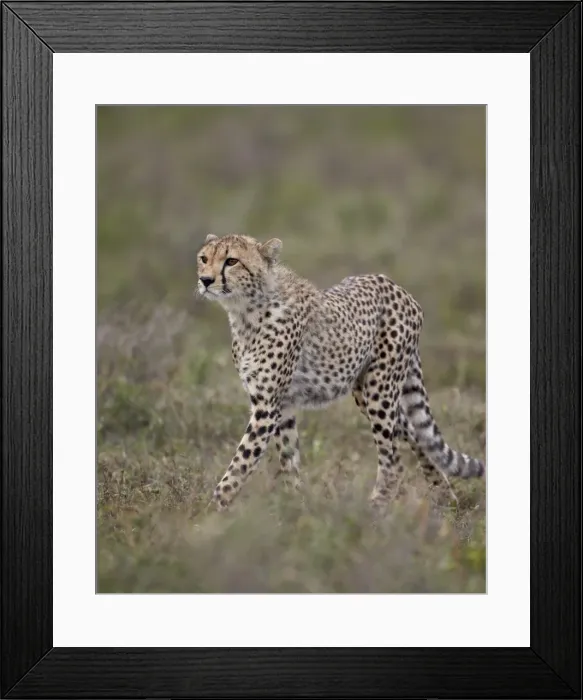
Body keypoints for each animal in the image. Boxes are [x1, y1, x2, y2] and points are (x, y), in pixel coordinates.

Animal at [195, 233, 485, 512]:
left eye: (231, 261)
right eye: (204, 258)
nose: (205, 280)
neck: (246, 312)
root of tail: (393, 284)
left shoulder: (266, 408)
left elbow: (240, 463)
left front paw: (209, 513)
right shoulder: (282, 405)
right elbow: (289, 460)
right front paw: (297, 507)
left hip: (380, 390)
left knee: (393, 461)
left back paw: (375, 509)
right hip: (365, 393)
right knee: (415, 434)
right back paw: (445, 496)